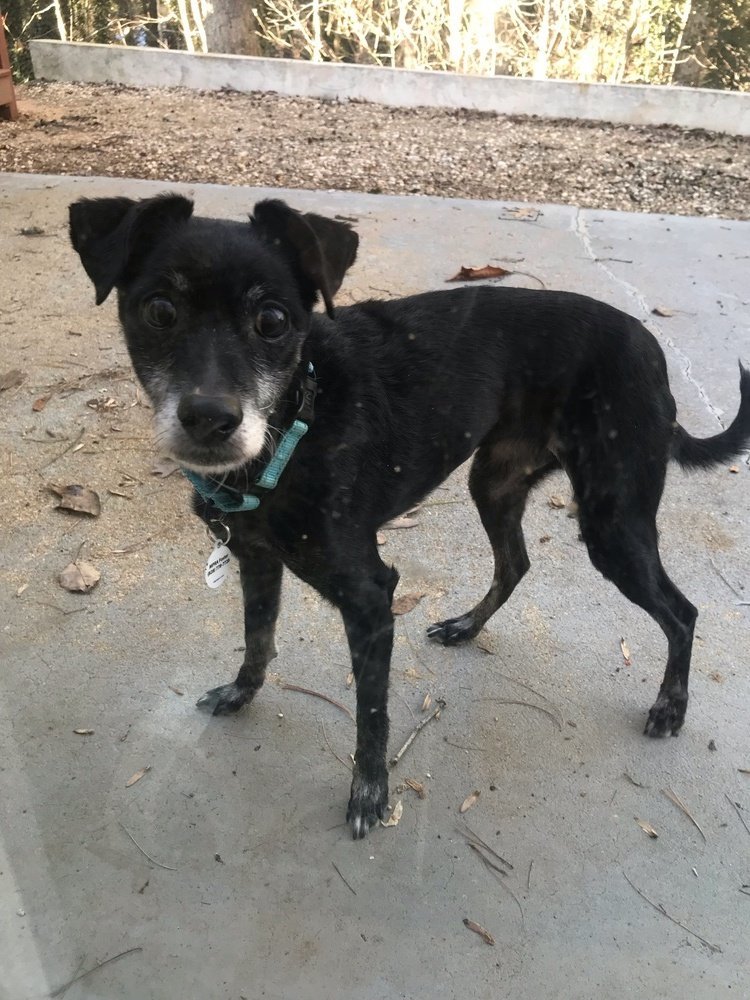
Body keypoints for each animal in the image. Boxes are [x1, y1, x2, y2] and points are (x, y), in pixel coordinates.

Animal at [67, 193, 748, 836]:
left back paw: (670, 707)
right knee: (516, 562)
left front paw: (370, 794)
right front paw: (242, 692)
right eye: (159, 311)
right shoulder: (257, 561)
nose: (210, 419)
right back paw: (467, 626)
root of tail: (650, 348)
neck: (297, 423)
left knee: (683, 612)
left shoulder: (371, 597)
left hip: (613, 522)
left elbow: (371, 712)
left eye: (273, 321)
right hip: (494, 483)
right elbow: (257, 637)